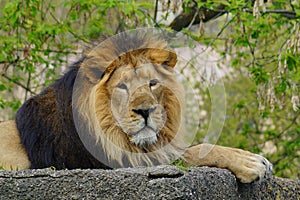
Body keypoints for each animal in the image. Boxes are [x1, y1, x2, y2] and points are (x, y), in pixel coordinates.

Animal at [0, 29, 272, 183]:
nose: (145, 111)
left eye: (152, 83)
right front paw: (250, 162)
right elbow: (192, 151)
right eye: (122, 87)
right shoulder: (108, 160)